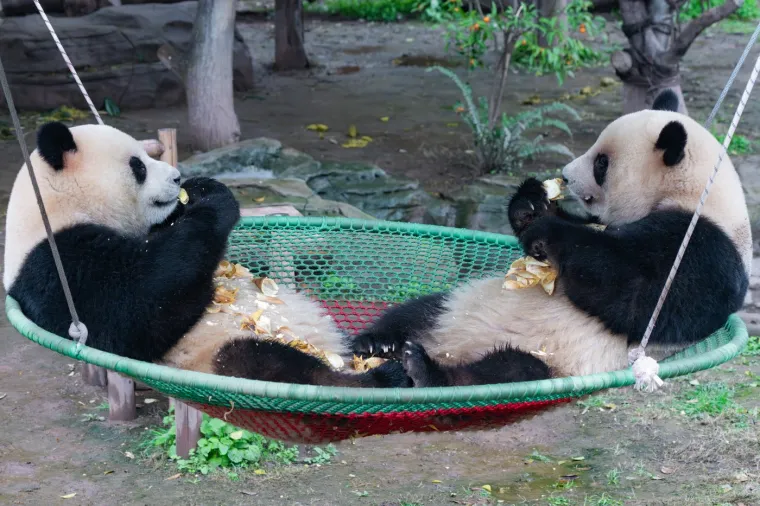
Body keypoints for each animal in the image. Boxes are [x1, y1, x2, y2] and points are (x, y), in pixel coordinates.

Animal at [4, 121, 409, 389]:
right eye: (138, 165)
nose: (177, 177)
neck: (58, 206)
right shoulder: (54, 264)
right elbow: (132, 312)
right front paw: (214, 200)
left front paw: (198, 190)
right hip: (220, 353)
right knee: (276, 365)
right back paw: (383, 376)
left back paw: (379, 345)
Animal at [346, 89, 752, 387]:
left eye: (602, 163)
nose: (566, 175)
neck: (693, 192)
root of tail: (450, 347)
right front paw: (530, 204)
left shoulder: (707, 248)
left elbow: (635, 292)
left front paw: (548, 230)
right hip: (454, 305)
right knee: (416, 311)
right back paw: (378, 342)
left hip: (553, 357)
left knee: (506, 371)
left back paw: (425, 370)